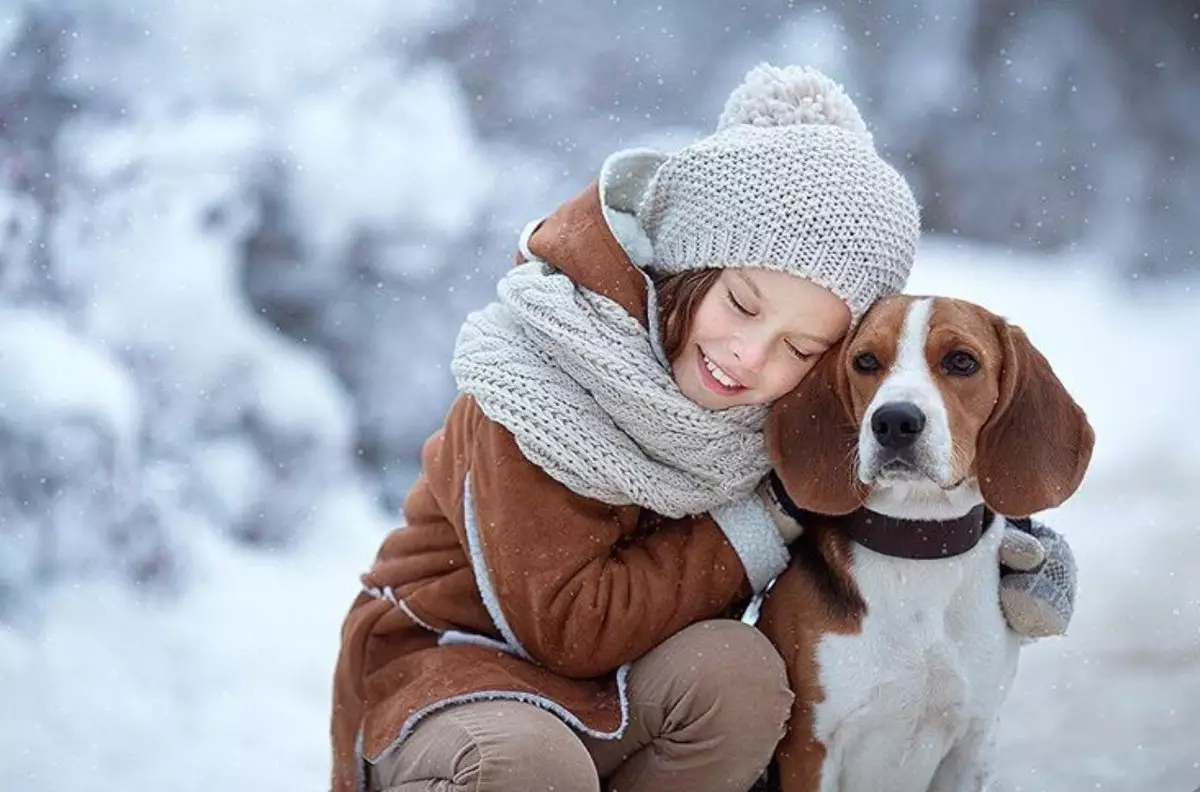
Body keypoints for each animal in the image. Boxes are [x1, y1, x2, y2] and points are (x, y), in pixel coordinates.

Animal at [758, 295, 1099, 792]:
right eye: (865, 361)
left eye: (962, 361)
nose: (894, 421)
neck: (918, 542)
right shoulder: (809, 748)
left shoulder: (971, 743)